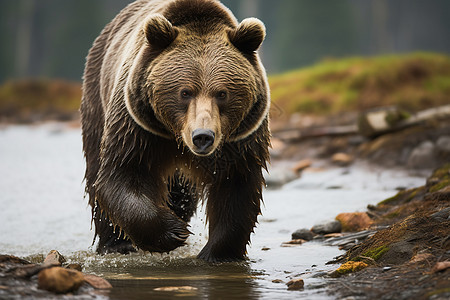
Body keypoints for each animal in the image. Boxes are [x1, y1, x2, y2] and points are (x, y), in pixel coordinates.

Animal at [81, 0, 270, 262]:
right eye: (185, 92)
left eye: (222, 93)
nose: (203, 137)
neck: (175, 136)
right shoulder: (137, 127)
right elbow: (122, 173)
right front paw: (173, 231)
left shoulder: (239, 140)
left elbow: (237, 187)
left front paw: (217, 253)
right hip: (97, 97)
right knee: (95, 172)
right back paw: (116, 244)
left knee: (181, 191)